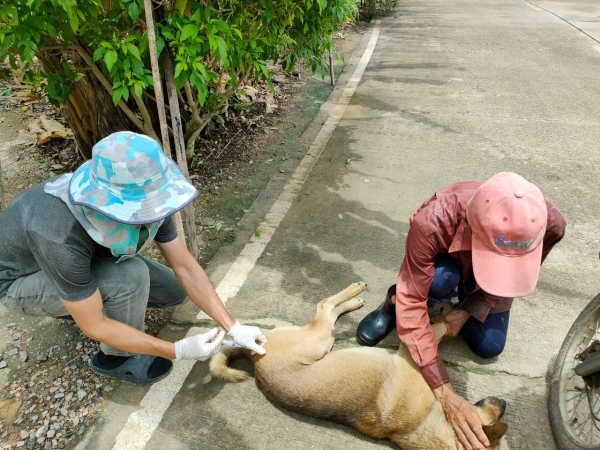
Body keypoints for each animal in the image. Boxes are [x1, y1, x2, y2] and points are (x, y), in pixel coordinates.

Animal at [210, 282, 508, 449]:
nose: (504, 402)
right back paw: (354, 292)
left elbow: (435, 331)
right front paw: (446, 314)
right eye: (492, 420)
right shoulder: (408, 354)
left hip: (324, 340)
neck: (422, 422)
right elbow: (437, 330)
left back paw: (353, 300)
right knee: (323, 306)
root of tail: (252, 355)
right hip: (318, 339)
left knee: (328, 312)